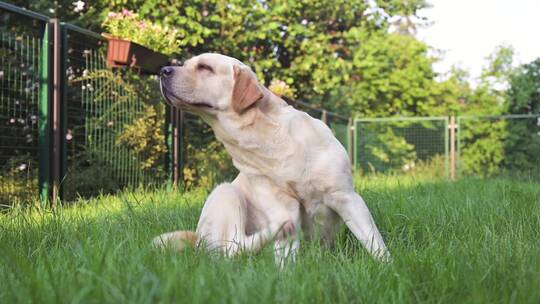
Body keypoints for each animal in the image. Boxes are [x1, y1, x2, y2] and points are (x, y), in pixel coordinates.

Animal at [154, 53, 390, 262]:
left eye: (204, 67)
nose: (163, 70)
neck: (265, 138)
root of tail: (197, 240)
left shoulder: (346, 197)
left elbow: (375, 243)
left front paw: (387, 268)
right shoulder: (284, 208)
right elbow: (285, 254)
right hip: (227, 192)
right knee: (234, 249)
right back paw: (274, 230)